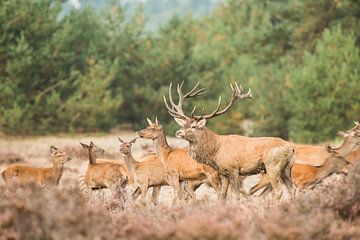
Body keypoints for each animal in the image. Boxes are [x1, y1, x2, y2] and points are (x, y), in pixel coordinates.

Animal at [164, 81, 296, 202]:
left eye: (193, 126)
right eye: (183, 124)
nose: (178, 132)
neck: (215, 150)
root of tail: (291, 148)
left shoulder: (234, 170)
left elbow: (235, 197)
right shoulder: (223, 173)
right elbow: (222, 196)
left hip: (272, 165)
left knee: (279, 190)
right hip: (286, 168)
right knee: (292, 188)